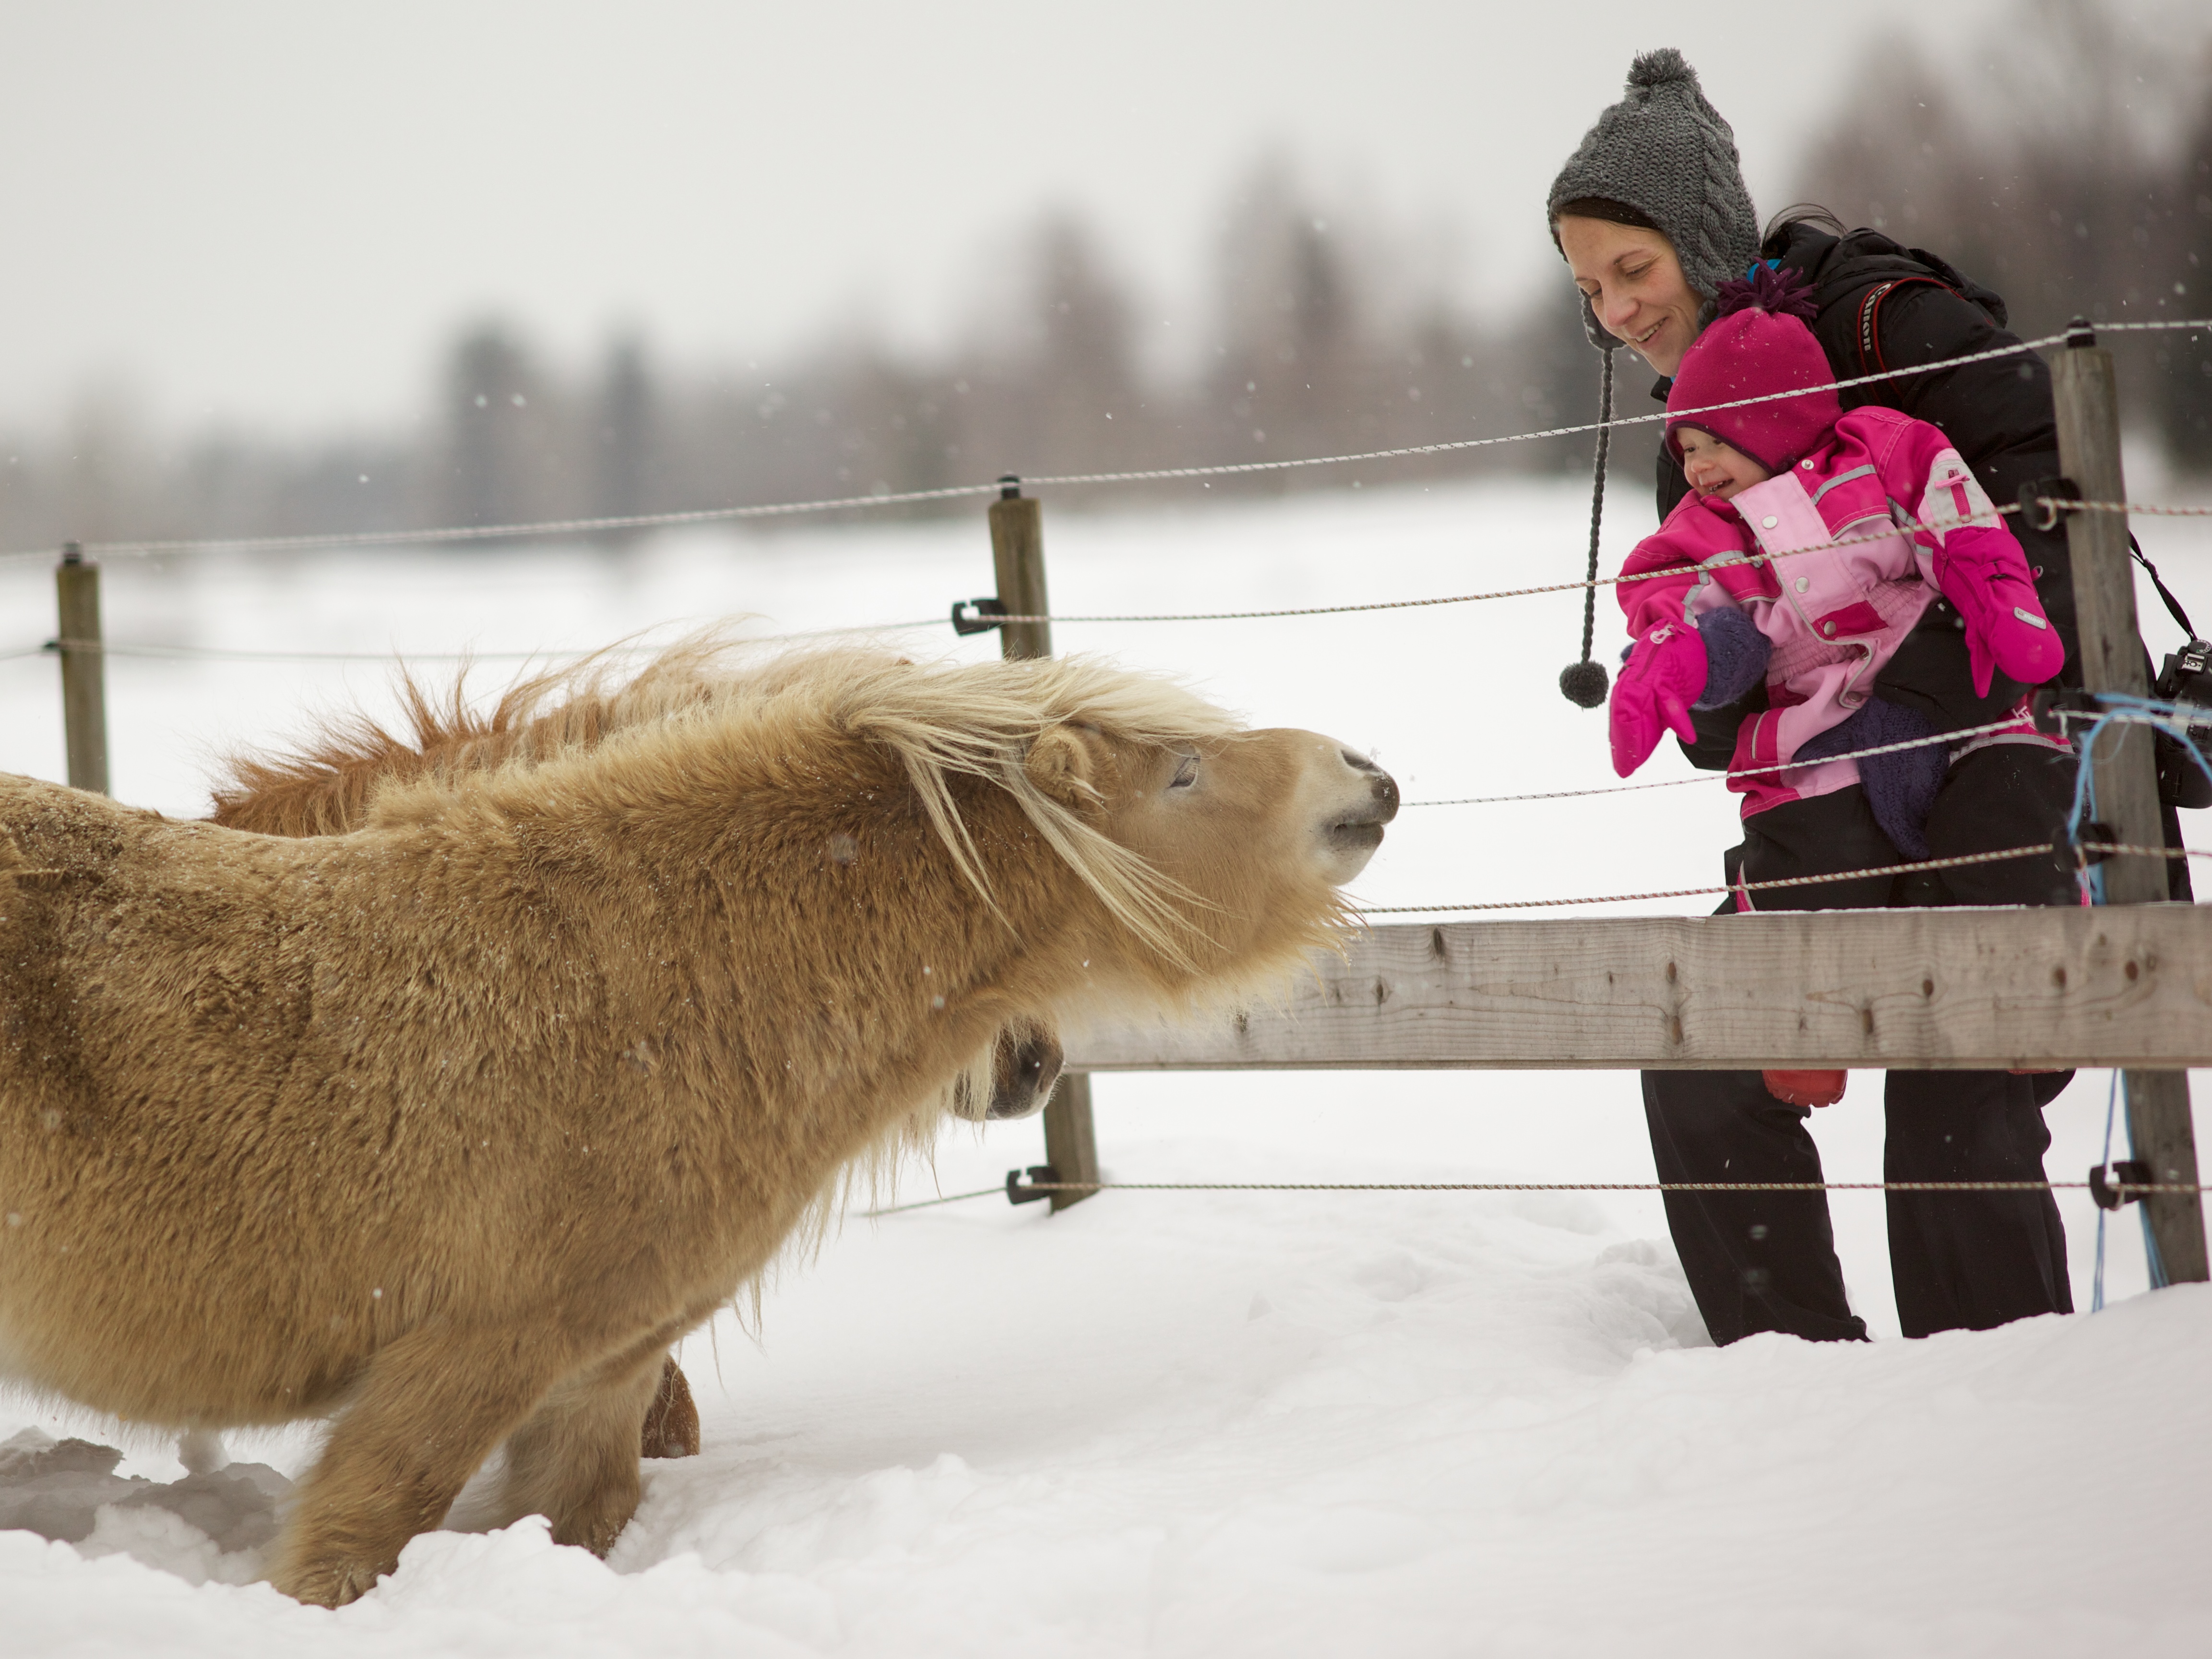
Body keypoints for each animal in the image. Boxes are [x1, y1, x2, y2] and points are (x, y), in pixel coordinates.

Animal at [0, 643, 1396, 1606]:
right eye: (1184, 771)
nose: (1367, 775)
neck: (647, 985)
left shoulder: (597, 1385)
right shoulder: (452, 1374)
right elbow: (345, 1553)